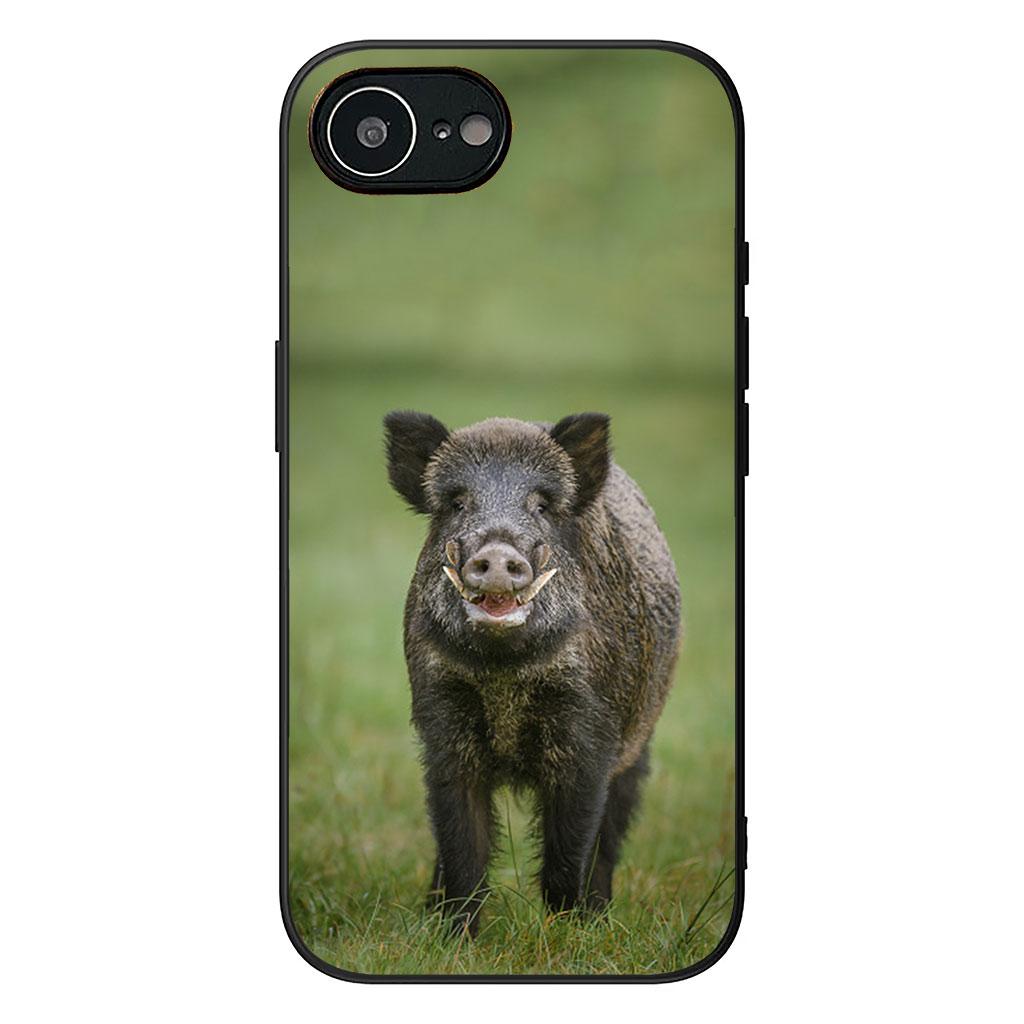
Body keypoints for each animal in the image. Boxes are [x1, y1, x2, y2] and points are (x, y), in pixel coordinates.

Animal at [383, 411, 681, 934]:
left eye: (541, 505)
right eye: (457, 503)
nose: (499, 553)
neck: (504, 670)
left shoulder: (589, 733)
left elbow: (570, 850)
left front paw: (568, 934)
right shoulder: (442, 724)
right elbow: (461, 844)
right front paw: (455, 938)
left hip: (638, 745)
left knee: (609, 838)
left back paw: (602, 916)